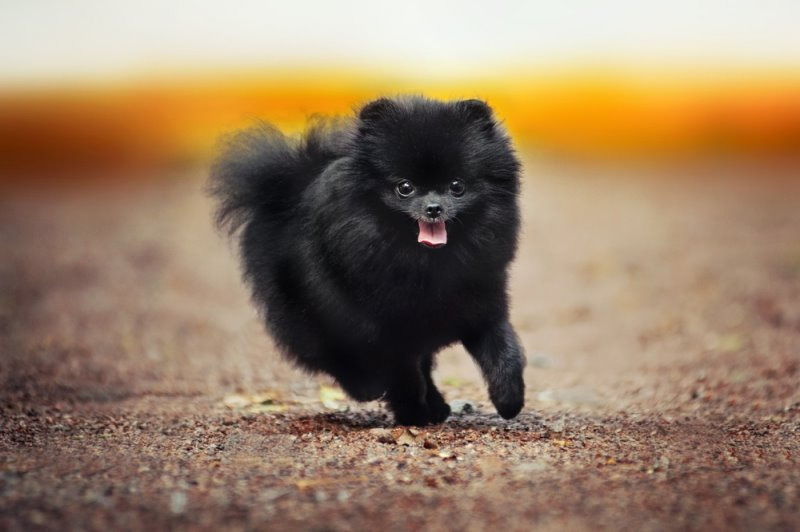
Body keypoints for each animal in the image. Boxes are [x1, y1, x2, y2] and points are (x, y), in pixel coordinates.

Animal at [209, 93, 528, 422]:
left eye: (457, 186)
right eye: (405, 187)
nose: (433, 208)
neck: (427, 263)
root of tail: (285, 191)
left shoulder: (482, 305)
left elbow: (504, 352)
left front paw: (508, 399)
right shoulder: (385, 326)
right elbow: (404, 374)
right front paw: (413, 413)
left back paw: (437, 406)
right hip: (313, 311)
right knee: (334, 354)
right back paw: (369, 388)